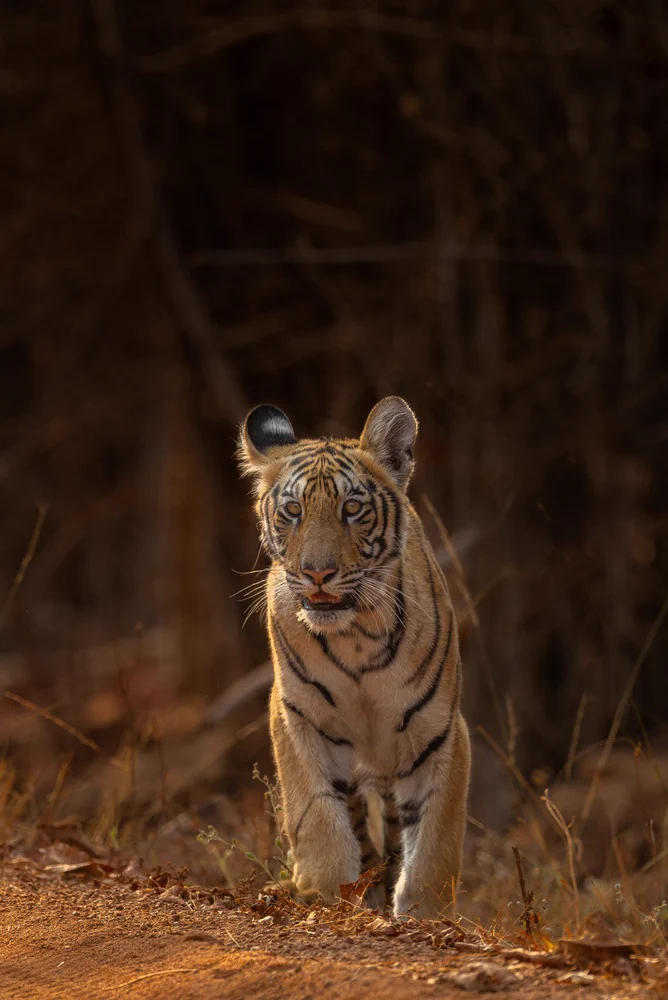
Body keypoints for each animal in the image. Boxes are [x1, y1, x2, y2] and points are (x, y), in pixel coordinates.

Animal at [237, 396, 470, 917]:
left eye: (352, 508)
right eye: (293, 510)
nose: (317, 573)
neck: (354, 635)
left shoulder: (440, 731)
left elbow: (436, 841)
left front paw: (427, 915)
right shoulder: (298, 715)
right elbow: (316, 812)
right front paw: (324, 892)